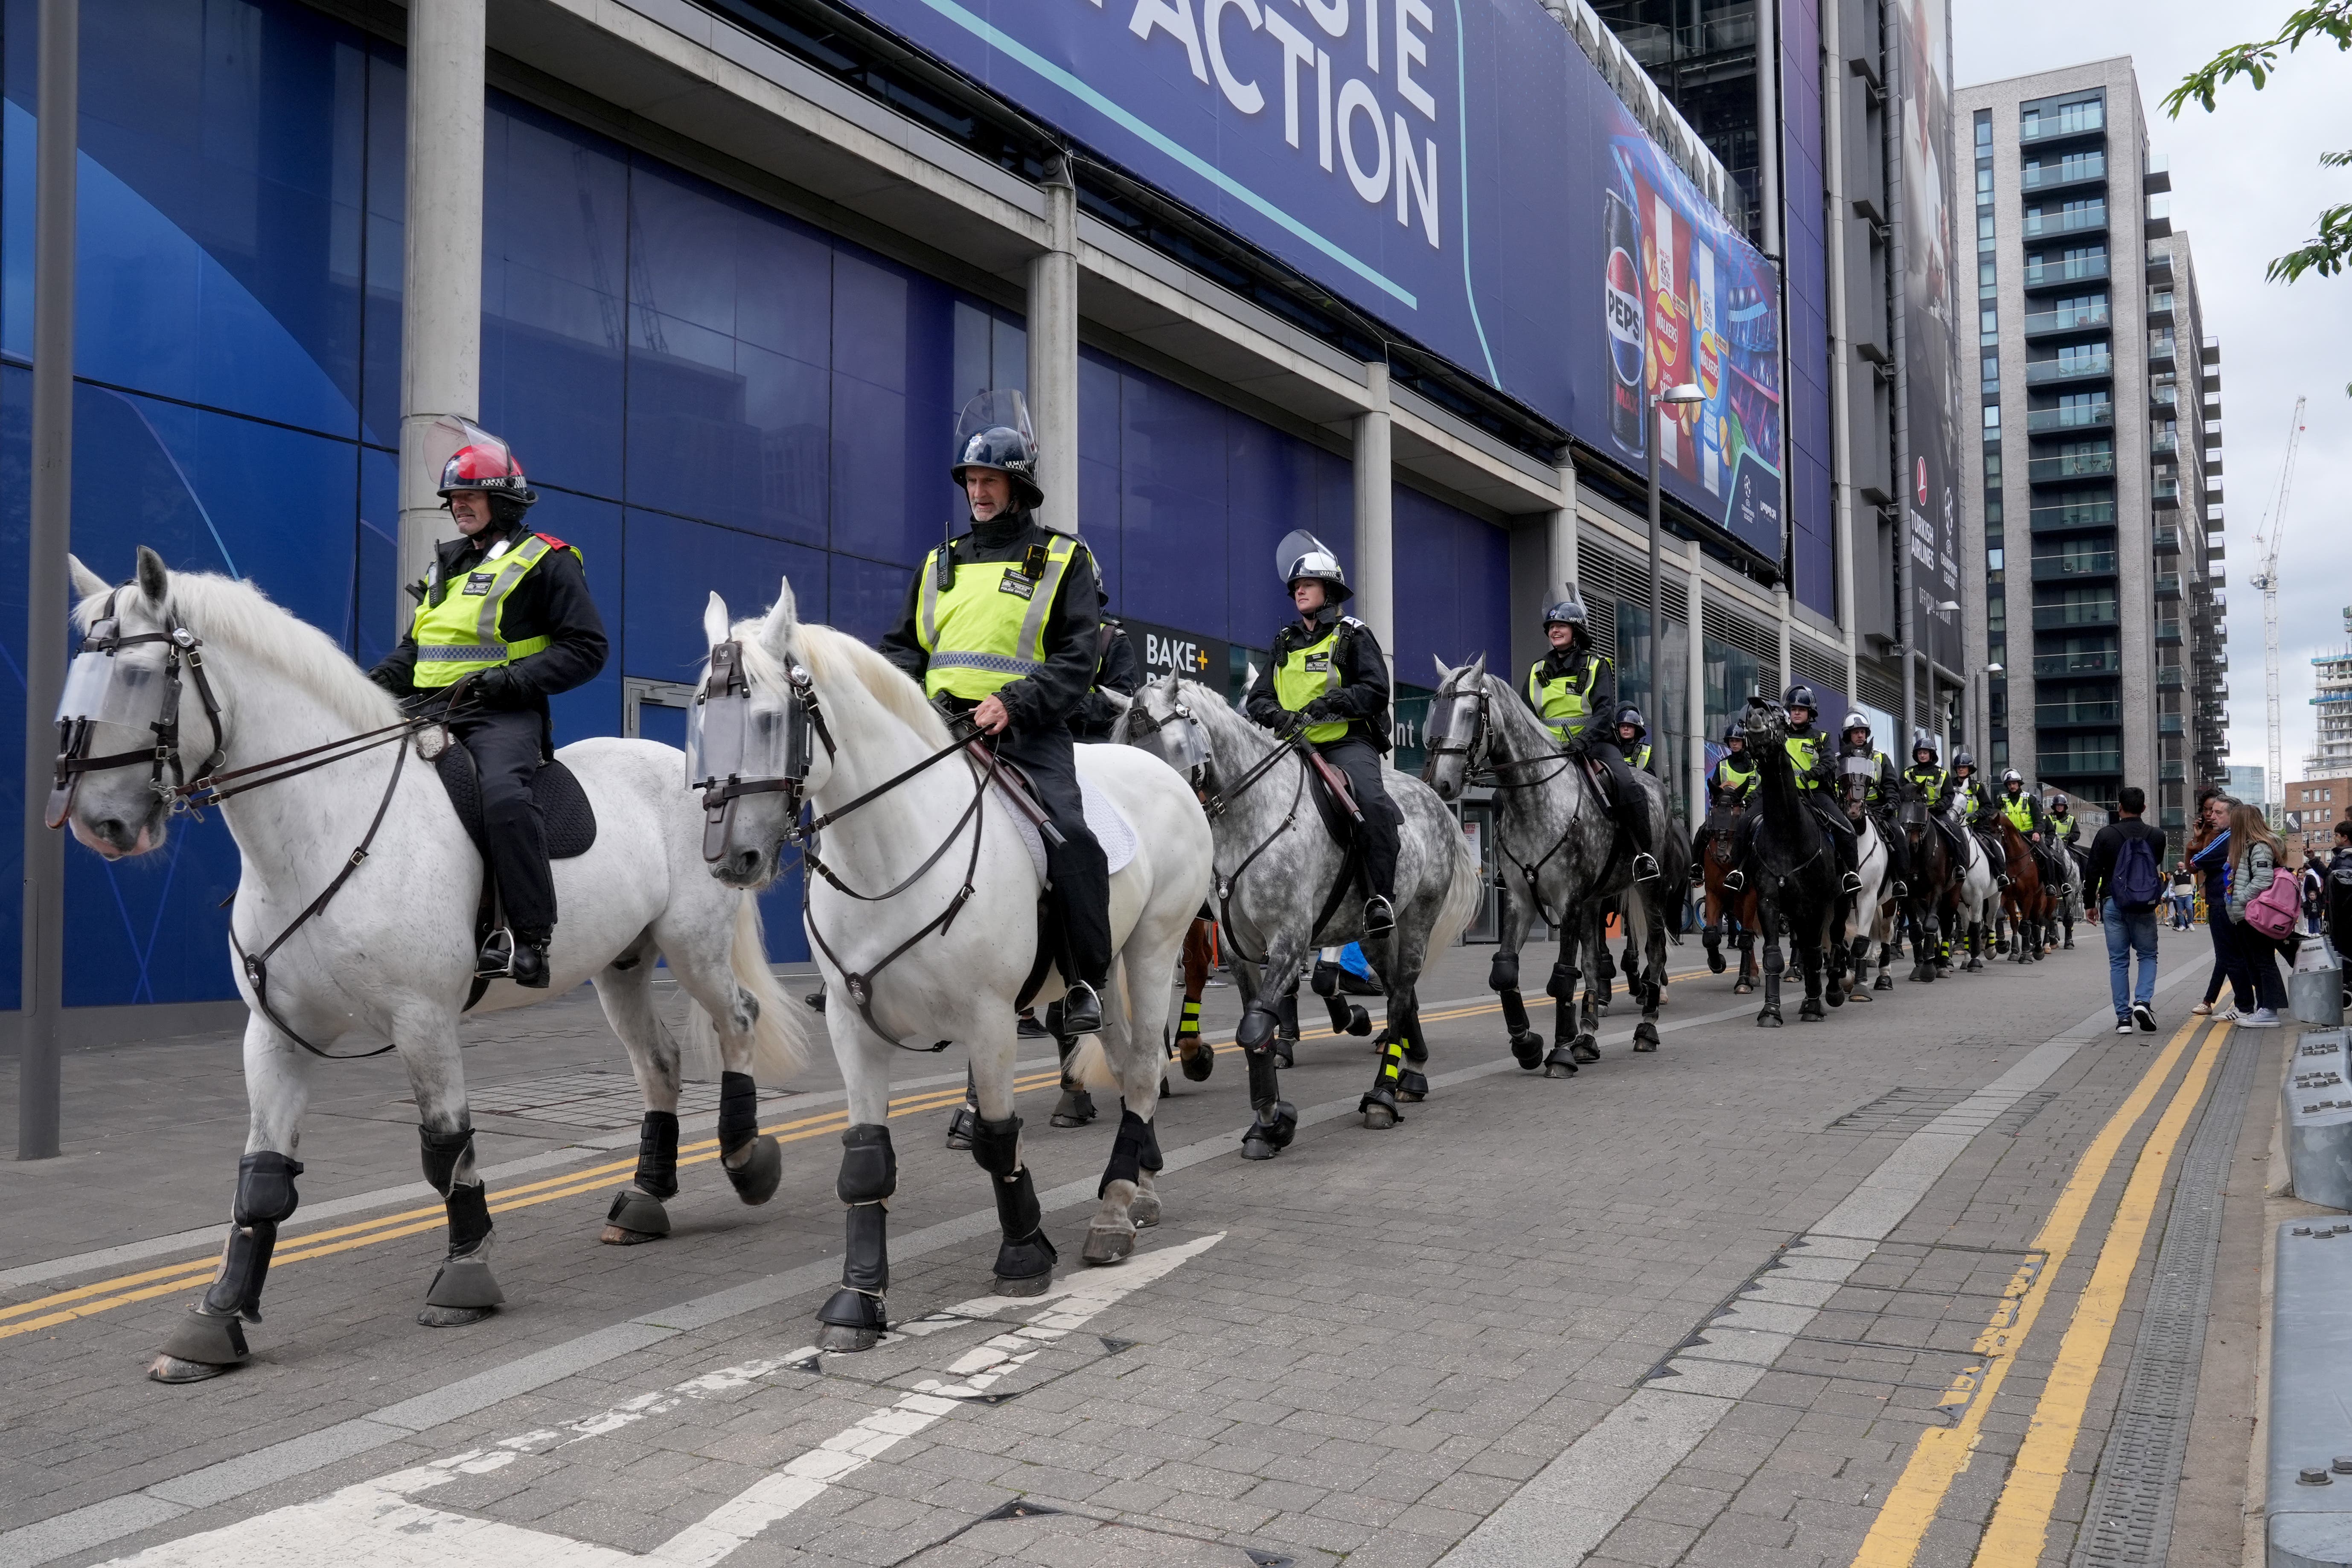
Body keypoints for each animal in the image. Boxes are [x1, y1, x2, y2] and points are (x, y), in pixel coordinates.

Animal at [50, 545, 809, 1382]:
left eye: (136, 676)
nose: (99, 822)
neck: (328, 823)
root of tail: (696, 772)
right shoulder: (275, 1032)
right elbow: (262, 1175)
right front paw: (216, 1319)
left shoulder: (424, 1019)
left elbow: (446, 1147)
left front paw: (465, 1276)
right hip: (623, 963)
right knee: (660, 1060)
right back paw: (646, 1199)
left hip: (693, 946)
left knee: (737, 1018)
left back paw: (745, 1159)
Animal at [687, 576, 1214, 1354]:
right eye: (700, 716)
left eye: (768, 717)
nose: (731, 858)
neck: (894, 854)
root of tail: (1166, 777)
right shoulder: (853, 1026)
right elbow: (865, 1159)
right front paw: (858, 1299)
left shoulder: (990, 1020)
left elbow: (996, 1140)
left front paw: (1023, 1253)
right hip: (1108, 963)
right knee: (1124, 1063)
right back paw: (1139, 1187)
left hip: (1152, 949)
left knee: (1146, 1066)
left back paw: (1115, 1210)